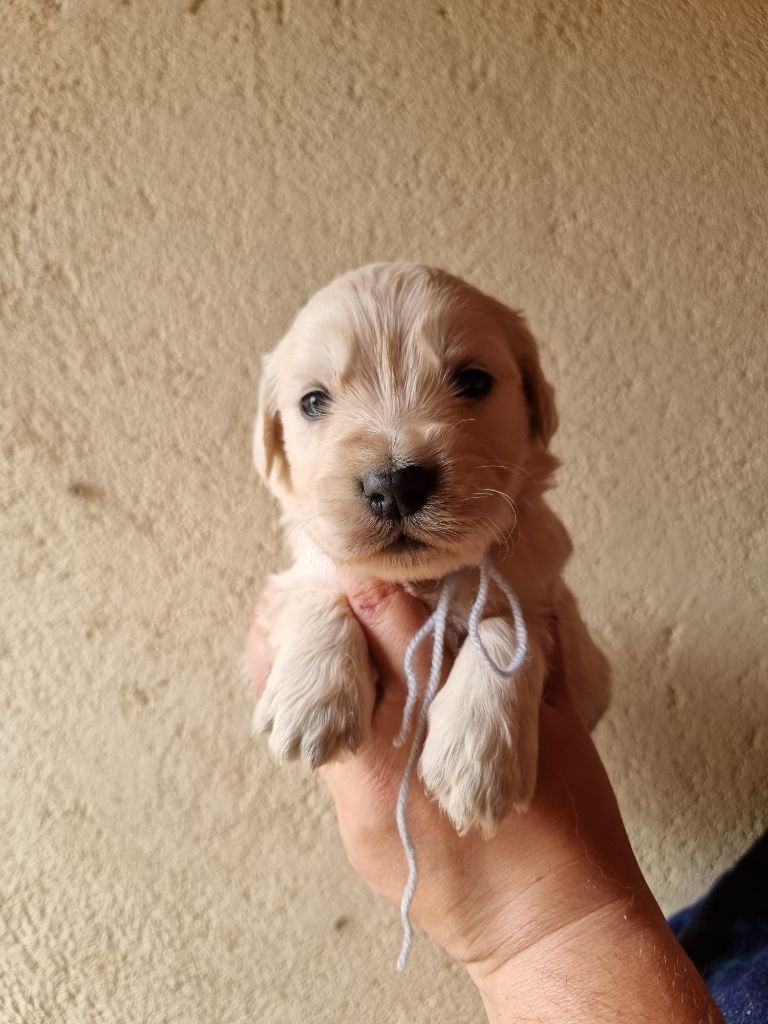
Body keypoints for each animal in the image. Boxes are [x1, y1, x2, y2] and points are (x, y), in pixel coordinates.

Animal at [252, 260, 614, 835]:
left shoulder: (545, 596)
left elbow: (505, 627)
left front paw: (476, 757)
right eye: (313, 401)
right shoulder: (290, 580)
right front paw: (312, 702)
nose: (395, 485)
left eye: (473, 380)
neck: (425, 580)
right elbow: (318, 591)